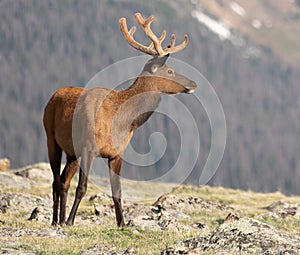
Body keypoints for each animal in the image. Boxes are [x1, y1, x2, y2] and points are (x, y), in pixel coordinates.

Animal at [42, 12, 197, 226]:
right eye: (170, 71)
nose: (194, 84)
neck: (122, 121)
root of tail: (52, 96)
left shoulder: (117, 154)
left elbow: (118, 191)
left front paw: (122, 223)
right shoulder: (89, 147)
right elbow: (82, 187)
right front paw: (72, 221)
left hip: (72, 152)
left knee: (64, 180)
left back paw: (61, 219)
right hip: (51, 138)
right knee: (56, 180)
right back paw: (57, 220)